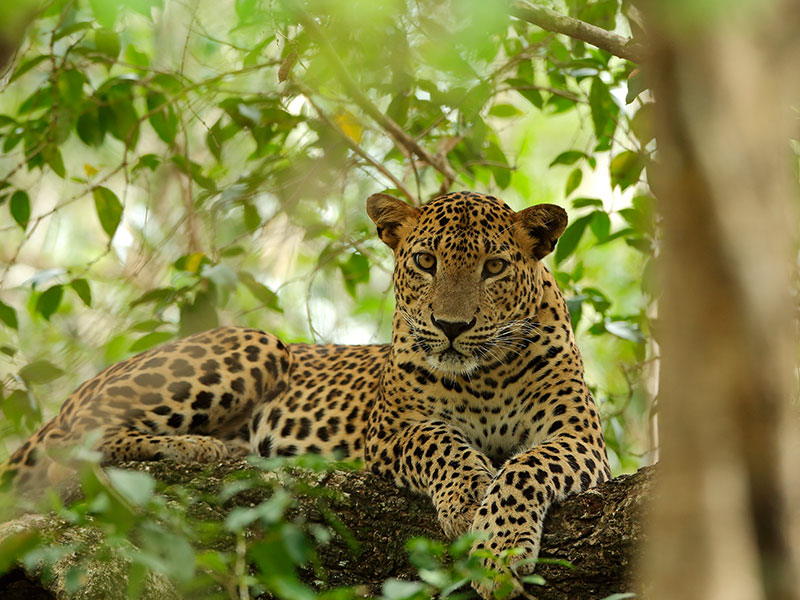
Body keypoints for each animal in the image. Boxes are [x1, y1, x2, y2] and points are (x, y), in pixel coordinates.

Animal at [1, 191, 610, 595]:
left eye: (495, 267)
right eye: (425, 261)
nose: (451, 326)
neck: (482, 375)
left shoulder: (579, 438)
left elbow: (525, 467)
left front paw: (498, 547)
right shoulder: (394, 430)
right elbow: (444, 445)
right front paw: (466, 501)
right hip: (257, 343)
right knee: (73, 444)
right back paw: (196, 447)